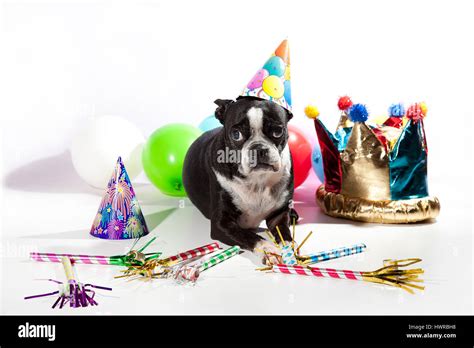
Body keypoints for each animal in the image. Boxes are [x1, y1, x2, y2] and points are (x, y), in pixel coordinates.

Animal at [183, 96, 298, 262]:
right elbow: (250, 236)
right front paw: (268, 249)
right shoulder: (221, 224)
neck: (257, 181)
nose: (258, 149)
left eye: (277, 131)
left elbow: (285, 235)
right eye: (236, 134)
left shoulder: (279, 216)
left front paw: (289, 249)